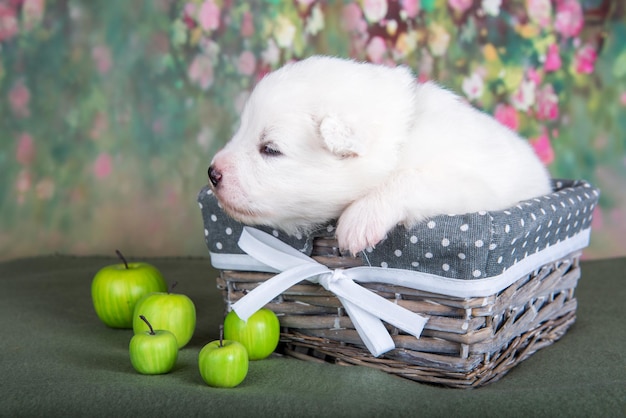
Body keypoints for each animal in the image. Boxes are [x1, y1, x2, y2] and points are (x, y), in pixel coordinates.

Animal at [207, 56, 548, 255]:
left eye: (270, 149)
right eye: (241, 130)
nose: (212, 172)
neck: (402, 138)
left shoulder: (471, 186)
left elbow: (408, 179)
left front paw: (360, 218)